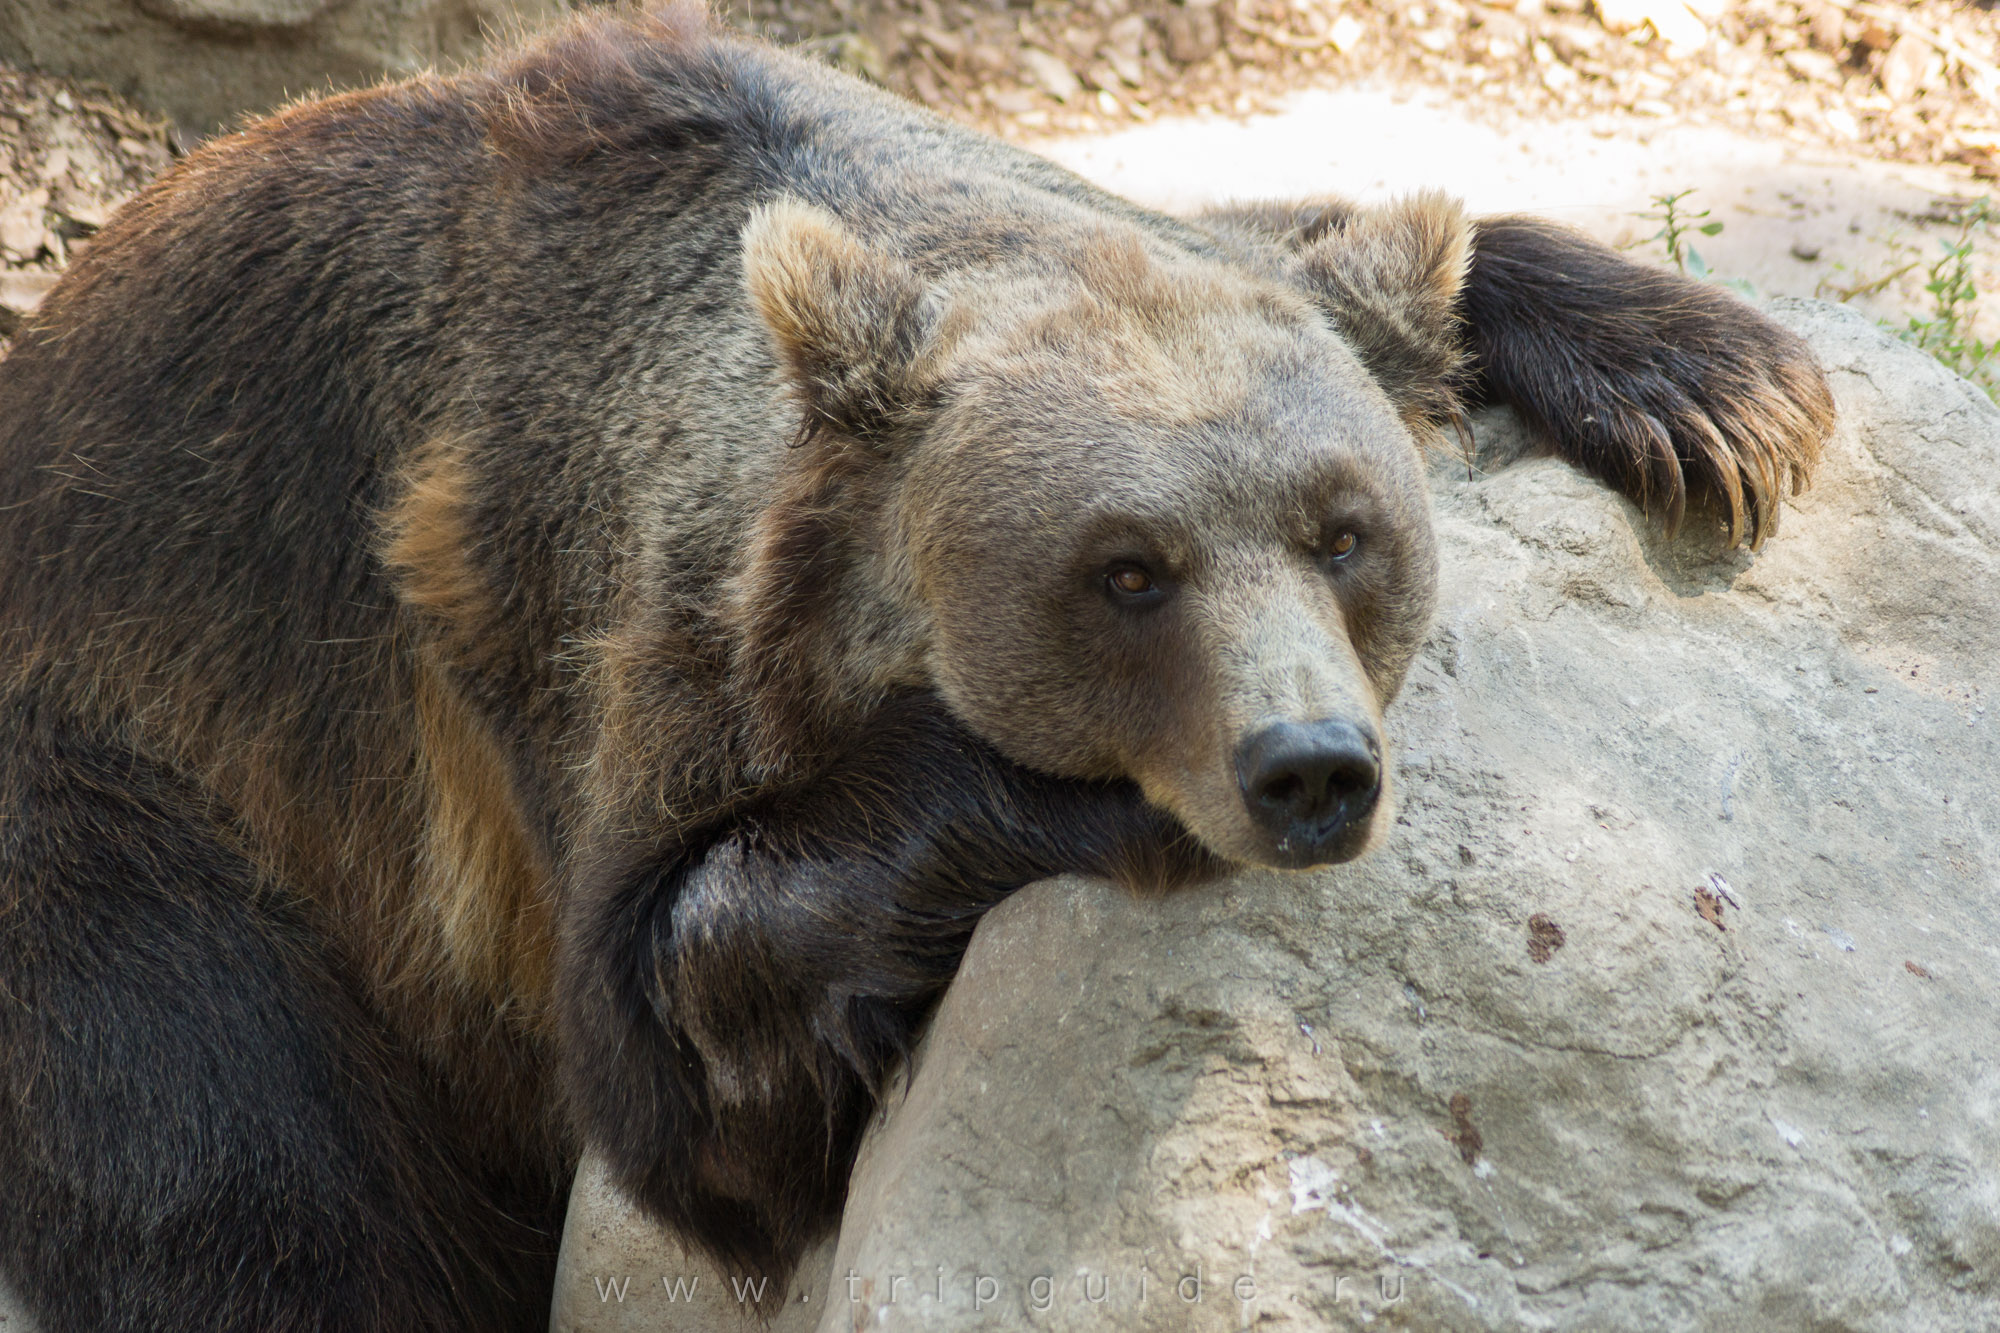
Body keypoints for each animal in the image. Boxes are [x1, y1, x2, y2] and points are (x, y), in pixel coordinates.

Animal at [0, 4, 1832, 1328]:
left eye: (1344, 530)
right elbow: (682, 1059)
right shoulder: (552, 617)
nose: (1307, 766)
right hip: (145, 788)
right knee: (249, 1161)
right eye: (1126, 570)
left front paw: (1712, 385)